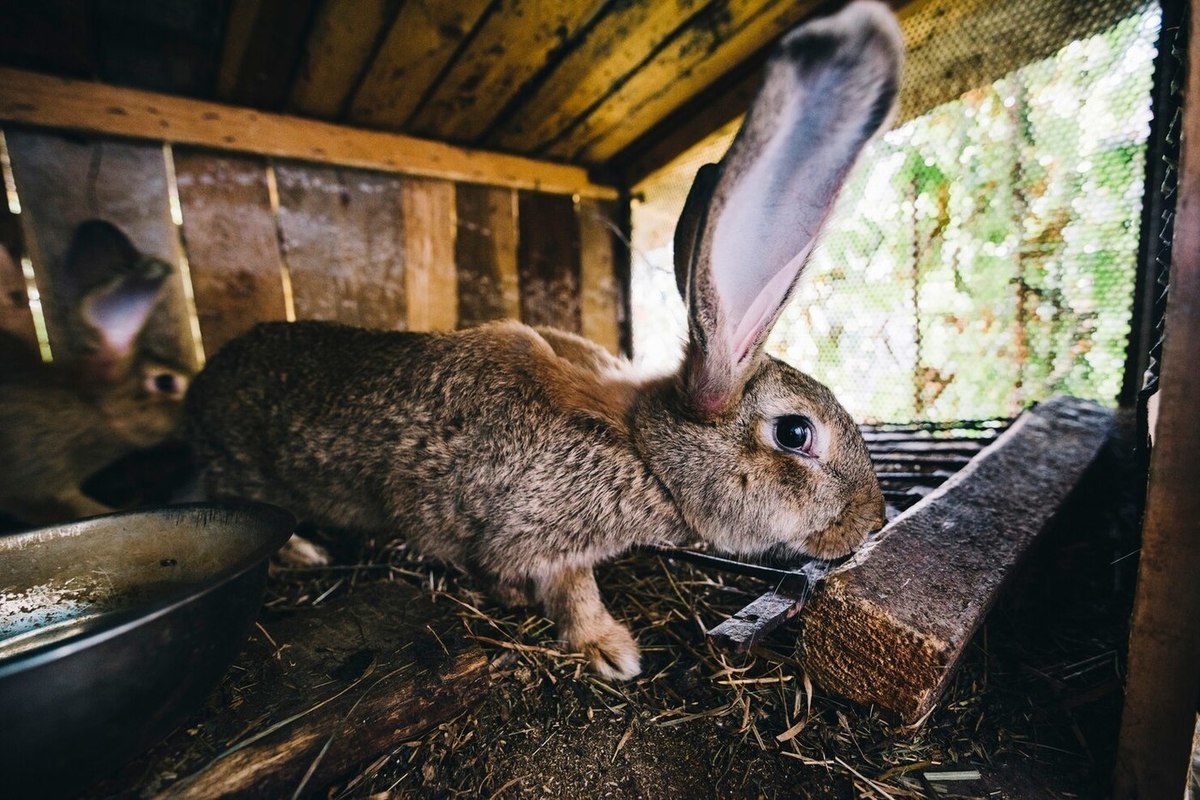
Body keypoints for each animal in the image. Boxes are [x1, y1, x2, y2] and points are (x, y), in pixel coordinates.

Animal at [187, 0, 902, 681]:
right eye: (795, 434)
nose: (873, 519)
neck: (642, 447)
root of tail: (201, 386)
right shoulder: (534, 533)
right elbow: (568, 588)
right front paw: (609, 649)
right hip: (240, 468)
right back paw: (301, 550)